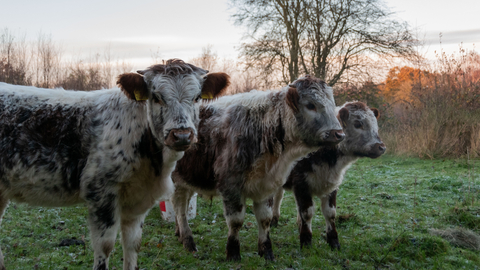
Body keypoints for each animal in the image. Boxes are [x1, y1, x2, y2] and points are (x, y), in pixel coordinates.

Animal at [0, 59, 231, 270]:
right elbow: (105, 245)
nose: (182, 135)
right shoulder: (100, 192)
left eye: (197, 97)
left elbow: (133, 243)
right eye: (156, 97)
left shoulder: (139, 199)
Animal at [171, 74, 344, 262]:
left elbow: (265, 218)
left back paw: (179, 234)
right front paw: (233, 252)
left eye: (332, 104)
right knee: (180, 209)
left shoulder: (265, 185)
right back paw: (188, 241)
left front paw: (266, 251)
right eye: (311, 105)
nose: (339, 134)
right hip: (176, 182)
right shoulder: (230, 185)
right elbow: (236, 221)